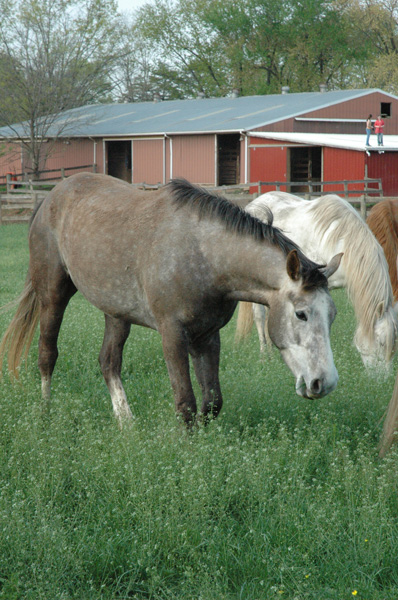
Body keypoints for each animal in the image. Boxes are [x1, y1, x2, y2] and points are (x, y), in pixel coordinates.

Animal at [0, 173, 342, 426]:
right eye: (301, 314)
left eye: (333, 315)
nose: (323, 383)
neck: (204, 255)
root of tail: (51, 196)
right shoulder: (173, 334)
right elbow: (186, 403)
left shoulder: (207, 335)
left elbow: (212, 401)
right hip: (53, 295)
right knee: (47, 355)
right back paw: (45, 413)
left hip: (116, 312)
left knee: (109, 362)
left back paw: (126, 423)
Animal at [236, 191, 398, 370]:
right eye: (381, 343)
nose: (381, 376)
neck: (339, 241)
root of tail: (253, 204)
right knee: (259, 316)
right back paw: (265, 356)